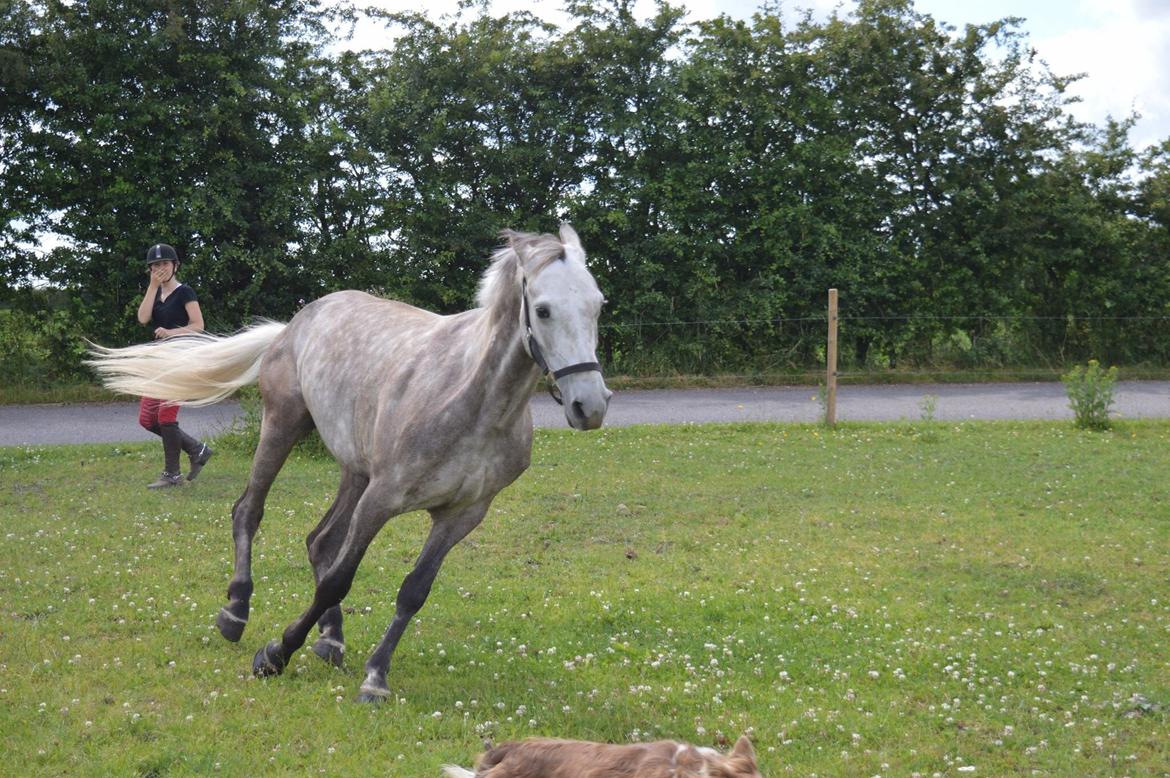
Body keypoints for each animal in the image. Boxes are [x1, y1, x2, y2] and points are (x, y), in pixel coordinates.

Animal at [86, 223, 608, 697]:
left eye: (598, 305)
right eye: (542, 310)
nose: (591, 405)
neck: (475, 401)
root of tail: (295, 324)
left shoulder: (462, 515)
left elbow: (414, 591)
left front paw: (376, 676)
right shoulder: (382, 498)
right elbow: (337, 581)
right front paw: (275, 654)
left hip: (354, 471)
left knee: (320, 541)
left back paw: (331, 639)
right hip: (283, 426)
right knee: (249, 512)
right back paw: (236, 612)